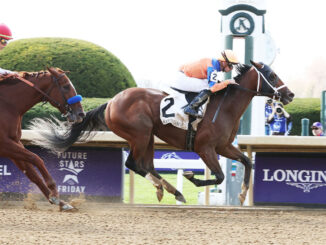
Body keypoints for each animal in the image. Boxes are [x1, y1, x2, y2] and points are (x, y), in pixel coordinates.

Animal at [0, 67, 84, 211]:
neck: (7, 105)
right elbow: (36, 158)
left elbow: (31, 173)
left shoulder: (14, 143)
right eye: (66, 86)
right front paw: (54, 191)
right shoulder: (4, 144)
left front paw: (61, 202)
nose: (80, 113)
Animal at [30, 61, 294, 205]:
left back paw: (168, 190)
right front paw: (190, 175)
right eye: (272, 76)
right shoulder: (205, 148)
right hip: (140, 134)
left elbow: (247, 162)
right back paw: (172, 190)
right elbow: (218, 176)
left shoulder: (224, 147)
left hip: (147, 136)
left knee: (146, 165)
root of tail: (112, 101)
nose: (290, 94)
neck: (225, 106)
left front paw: (241, 195)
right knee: (134, 163)